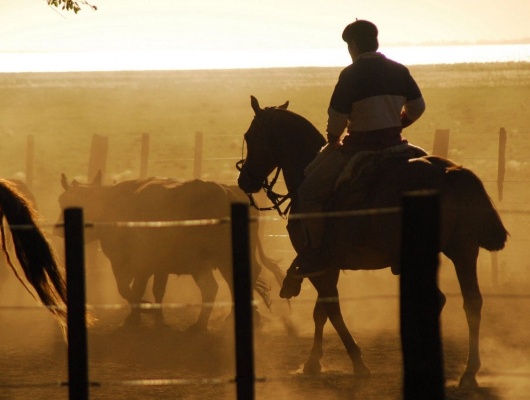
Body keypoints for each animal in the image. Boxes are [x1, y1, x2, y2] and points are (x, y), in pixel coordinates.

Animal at [55, 173, 282, 330]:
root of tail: (226, 191)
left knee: (214, 287)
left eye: (66, 202)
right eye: (60, 201)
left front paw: (139, 314)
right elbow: (155, 290)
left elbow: (130, 290)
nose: (58, 228)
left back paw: (203, 324)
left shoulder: (134, 264)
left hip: (210, 261)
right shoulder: (158, 267)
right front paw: (156, 317)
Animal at [237, 95, 506, 390]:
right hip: (463, 251)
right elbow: (321, 311)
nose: (244, 179)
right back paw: (469, 372)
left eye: (250, 135)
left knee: (440, 299)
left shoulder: (317, 262)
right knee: (472, 303)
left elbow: (331, 308)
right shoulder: (327, 264)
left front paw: (357, 361)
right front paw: (313, 361)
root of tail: (450, 173)